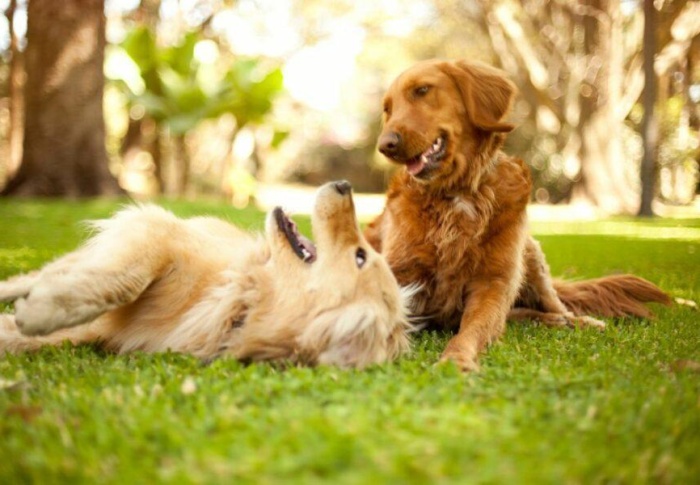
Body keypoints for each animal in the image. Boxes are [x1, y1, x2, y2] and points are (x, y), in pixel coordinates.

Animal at [0, 182, 412, 366]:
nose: (344, 184)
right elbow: (124, 280)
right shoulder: (157, 233)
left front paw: (25, 322)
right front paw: (41, 312)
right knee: (38, 276)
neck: (241, 299)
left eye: (360, 256)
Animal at [364, 60, 668, 370]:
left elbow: (472, 330)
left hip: (531, 258)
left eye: (422, 90)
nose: (385, 145)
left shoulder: (494, 282)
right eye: (388, 109)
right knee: (519, 314)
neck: (458, 194)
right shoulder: (400, 274)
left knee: (554, 306)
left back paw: (577, 321)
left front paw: (456, 360)